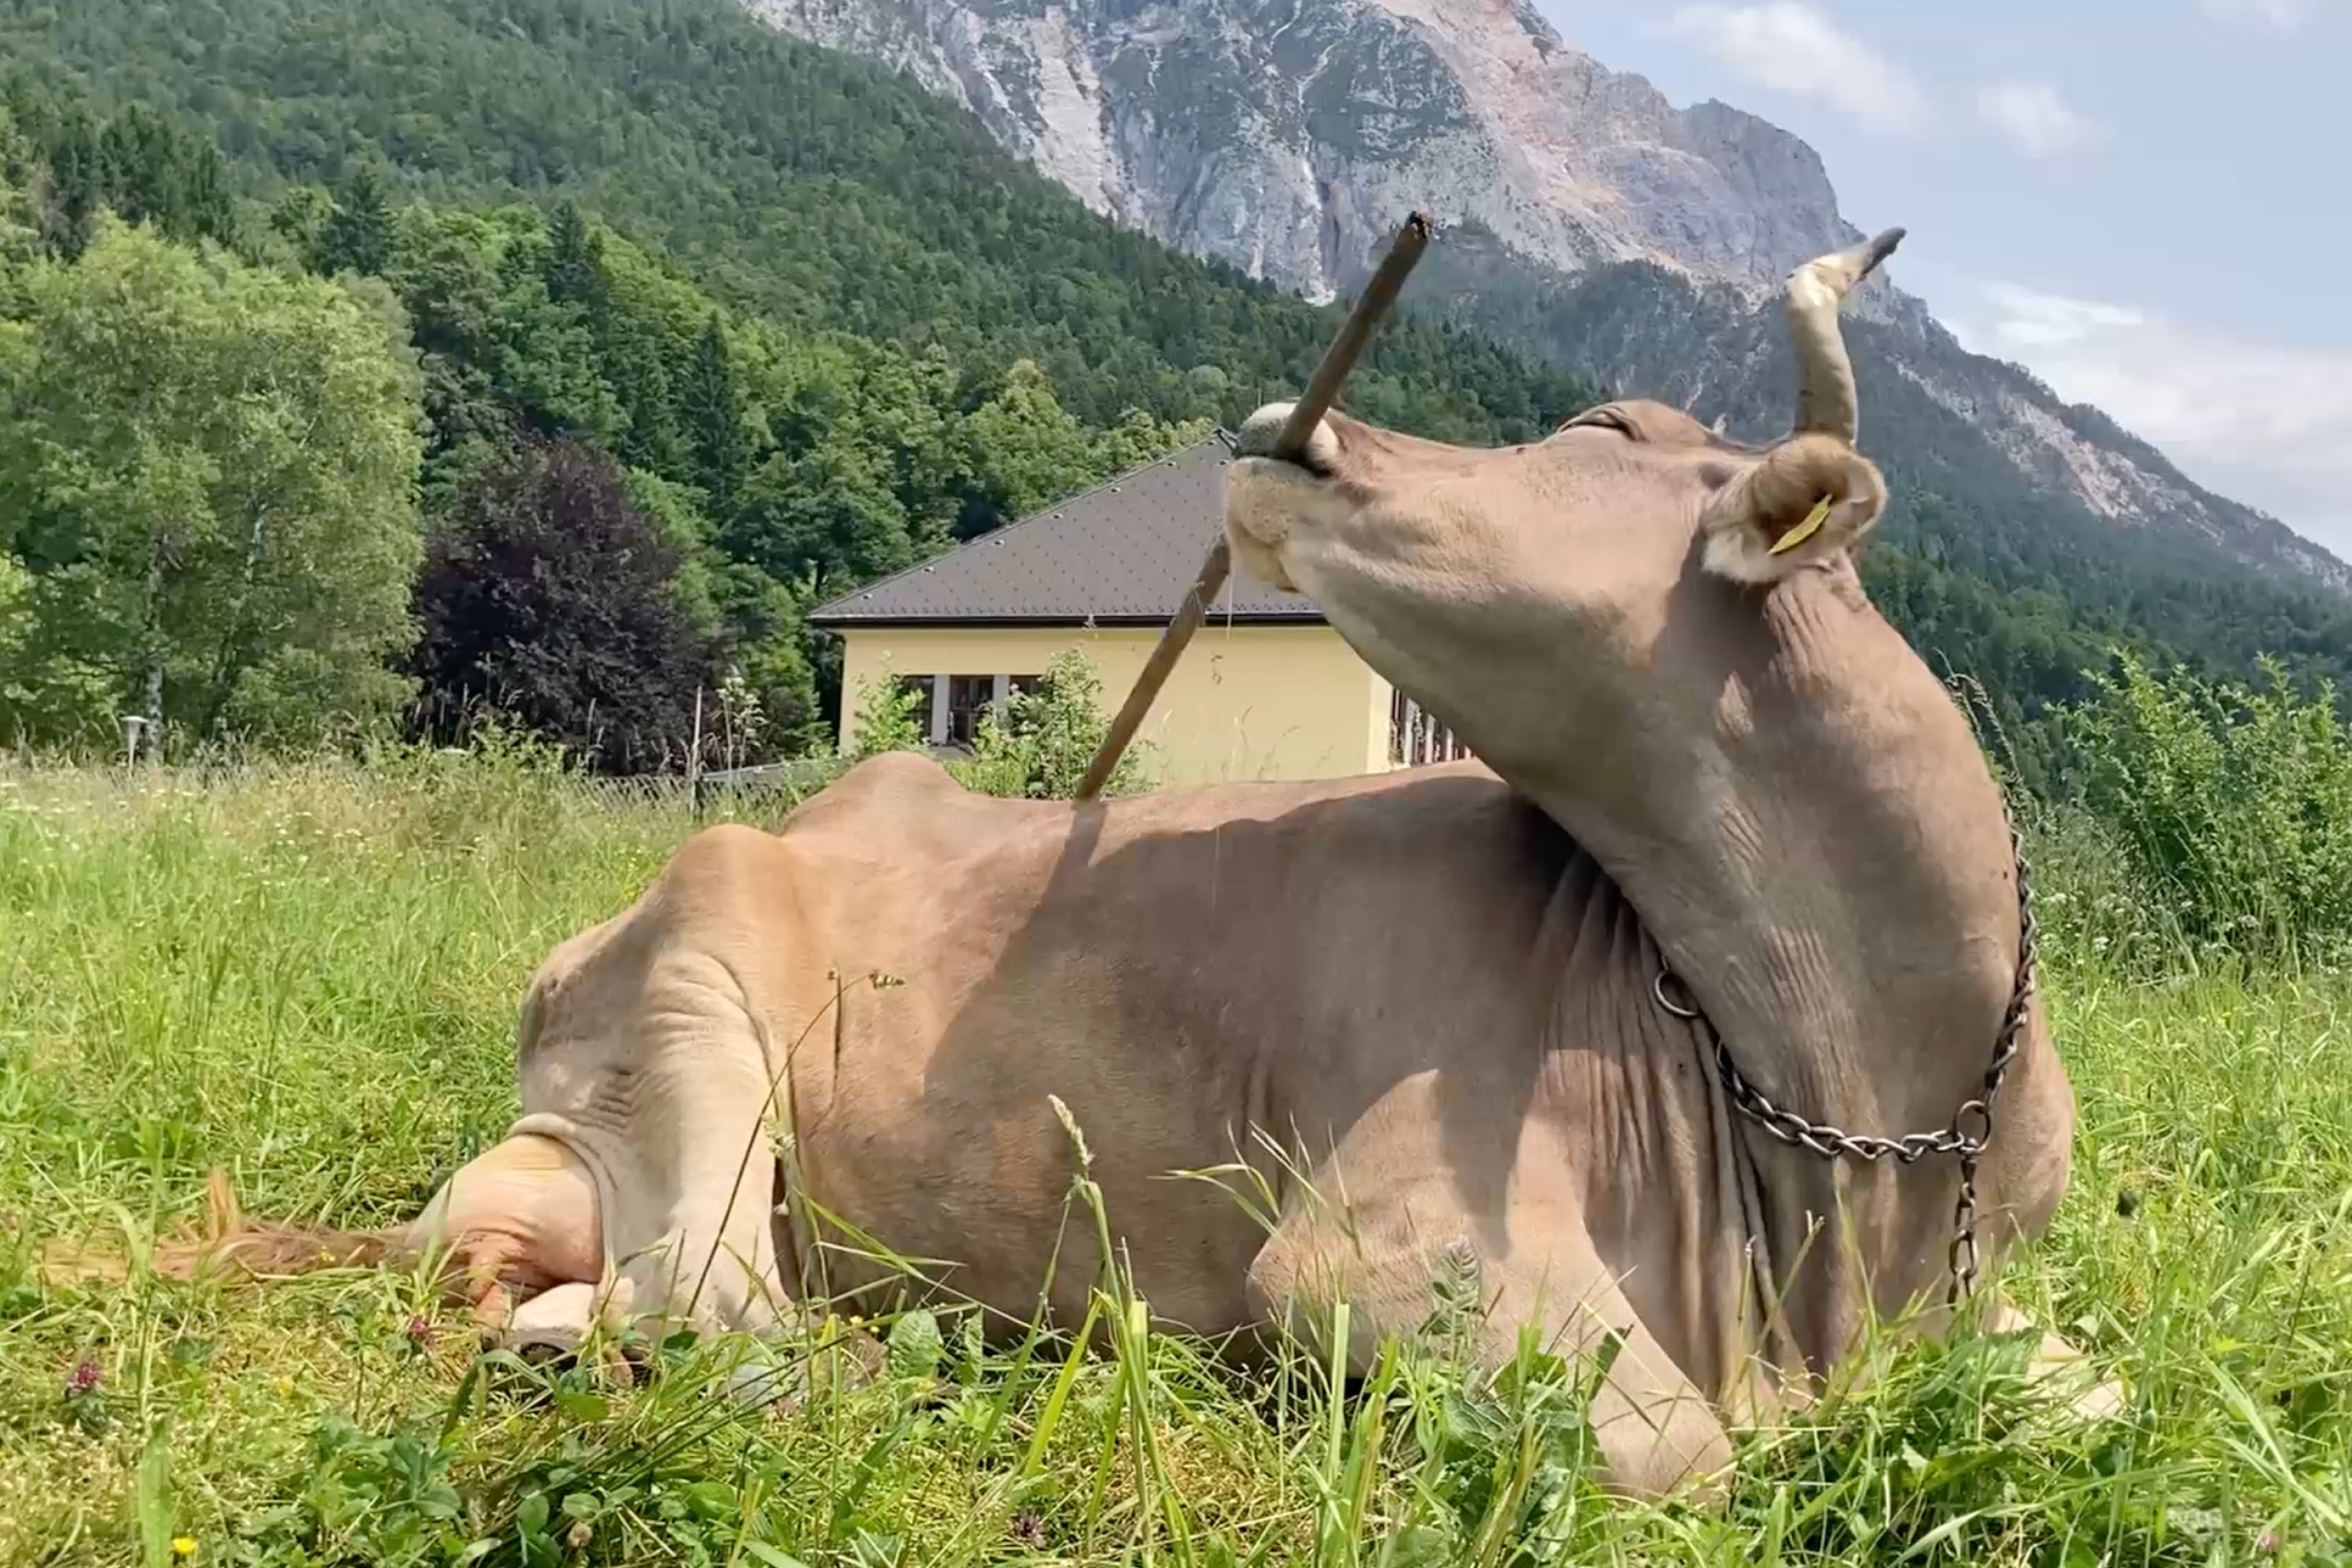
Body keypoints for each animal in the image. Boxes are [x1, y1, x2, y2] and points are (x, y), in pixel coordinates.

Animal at [155, 230, 2099, 1499]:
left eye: (1604, 434)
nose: (1290, 425)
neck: (1855, 1125)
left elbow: (2086, 1401)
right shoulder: (1383, 1251)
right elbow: (1691, 1457)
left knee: (597, 1300)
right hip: (695, 1000)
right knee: (718, 1308)